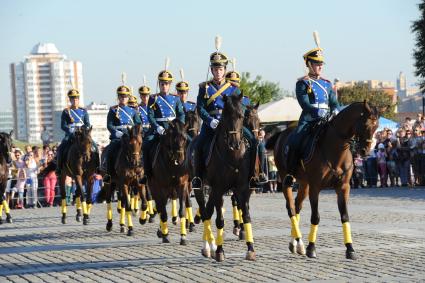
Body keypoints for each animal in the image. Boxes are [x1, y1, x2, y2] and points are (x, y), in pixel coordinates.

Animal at [199, 93, 255, 264]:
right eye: (225, 116)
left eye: (241, 115)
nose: (234, 143)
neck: (234, 155)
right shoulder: (218, 188)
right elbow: (220, 220)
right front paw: (219, 251)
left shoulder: (242, 187)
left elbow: (246, 215)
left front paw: (250, 249)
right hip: (200, 187)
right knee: (205, 212)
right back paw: (208, 247)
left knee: (209, 210)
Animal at [264, 101, 380, 260]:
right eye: (365, 124)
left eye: (377, 126)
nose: (365, 151)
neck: (335, 150)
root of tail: (282, 133)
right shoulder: (315, 187)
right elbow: (315, 217)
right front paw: (311, 248)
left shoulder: (343, 187)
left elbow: (345, 216)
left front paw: (350, 249)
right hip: (286, 180)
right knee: (291, 208)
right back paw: (300, 243)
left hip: (304, 184)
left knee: (297, 206)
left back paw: (295, 244)